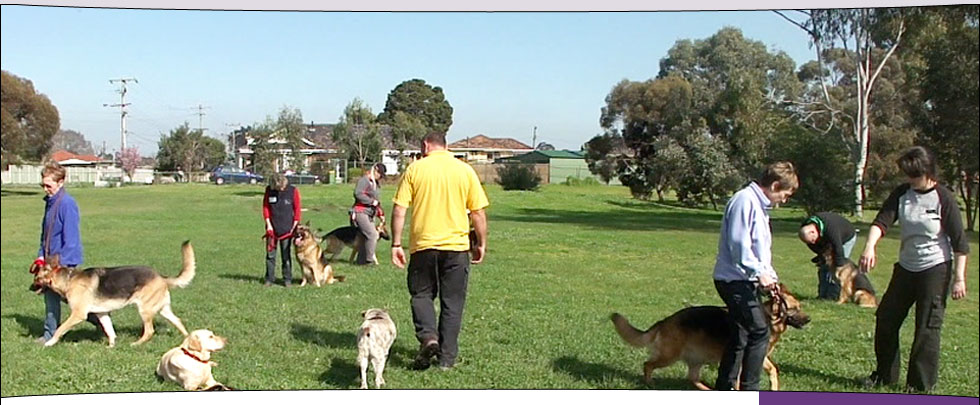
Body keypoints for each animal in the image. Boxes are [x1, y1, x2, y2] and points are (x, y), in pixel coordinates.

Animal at [28, 240, 195, 348]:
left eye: (36, 278)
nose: (30, 288)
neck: (68, 279)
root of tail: (161, 277)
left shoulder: (78, 314)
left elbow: (60, 329)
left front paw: (49, 342)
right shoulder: (102, 313)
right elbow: (110, 331)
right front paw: (111, 346)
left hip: (145, 310)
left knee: (149, 331)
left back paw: (136, 344)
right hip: (163, 310)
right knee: (178, 321)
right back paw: (188, 341)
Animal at [612, 282, 812, 390]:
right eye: (795, 309)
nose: (809, 319)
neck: (768, 317)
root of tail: (665, 321)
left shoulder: (760, 357)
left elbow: (773, 370)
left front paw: (774, 387)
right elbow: (738, 380)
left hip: (697, 358)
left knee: (692, 378)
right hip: (670, 356)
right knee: (647, 365)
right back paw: (649, 383)